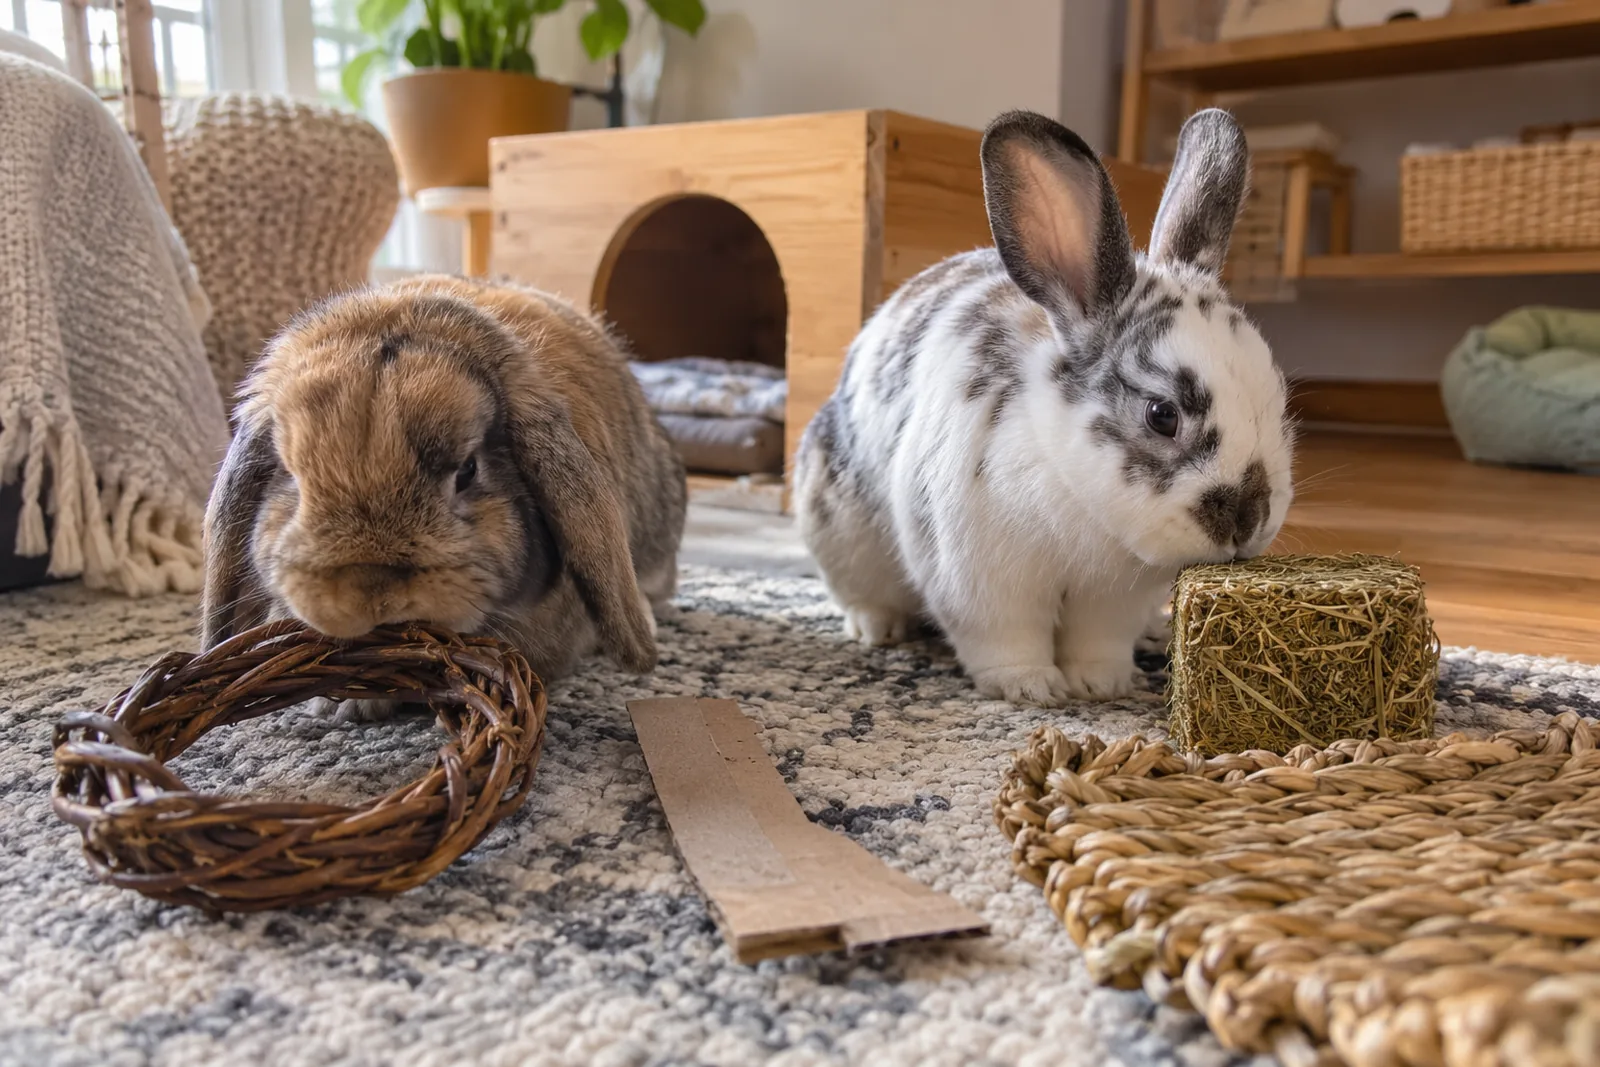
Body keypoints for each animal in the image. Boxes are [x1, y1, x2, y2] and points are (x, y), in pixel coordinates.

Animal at [794, 108, 1294, 708]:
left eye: (1279, 398)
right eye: (1162, 414)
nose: (1248, 521)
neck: (1078, 500)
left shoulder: (1112, 600)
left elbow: (1098, 641)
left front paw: (1100, 684)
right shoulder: (980, 581)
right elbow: (1004, 638)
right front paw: (1031, 689)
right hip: (838, 528)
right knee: (860, 592)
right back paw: (876, 628)